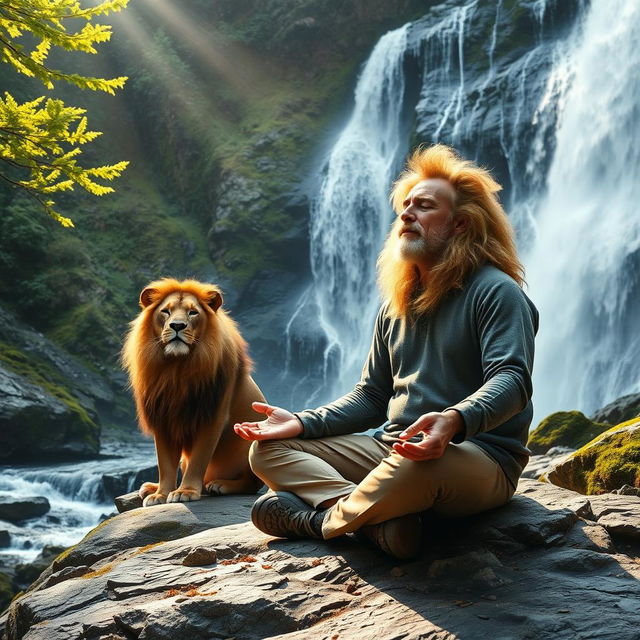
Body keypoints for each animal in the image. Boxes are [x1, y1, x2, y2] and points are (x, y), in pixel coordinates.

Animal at [122, 278, 264, 508]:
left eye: (193, 312)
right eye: (166, 311)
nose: (177, 326)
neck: (176, 369)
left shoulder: (211, 416)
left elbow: (198, 459)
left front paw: (185, 491)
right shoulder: (162, 418)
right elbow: (165, 463)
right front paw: (161, 494)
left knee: (251, 483)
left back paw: (220, 485)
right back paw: (150, 487)